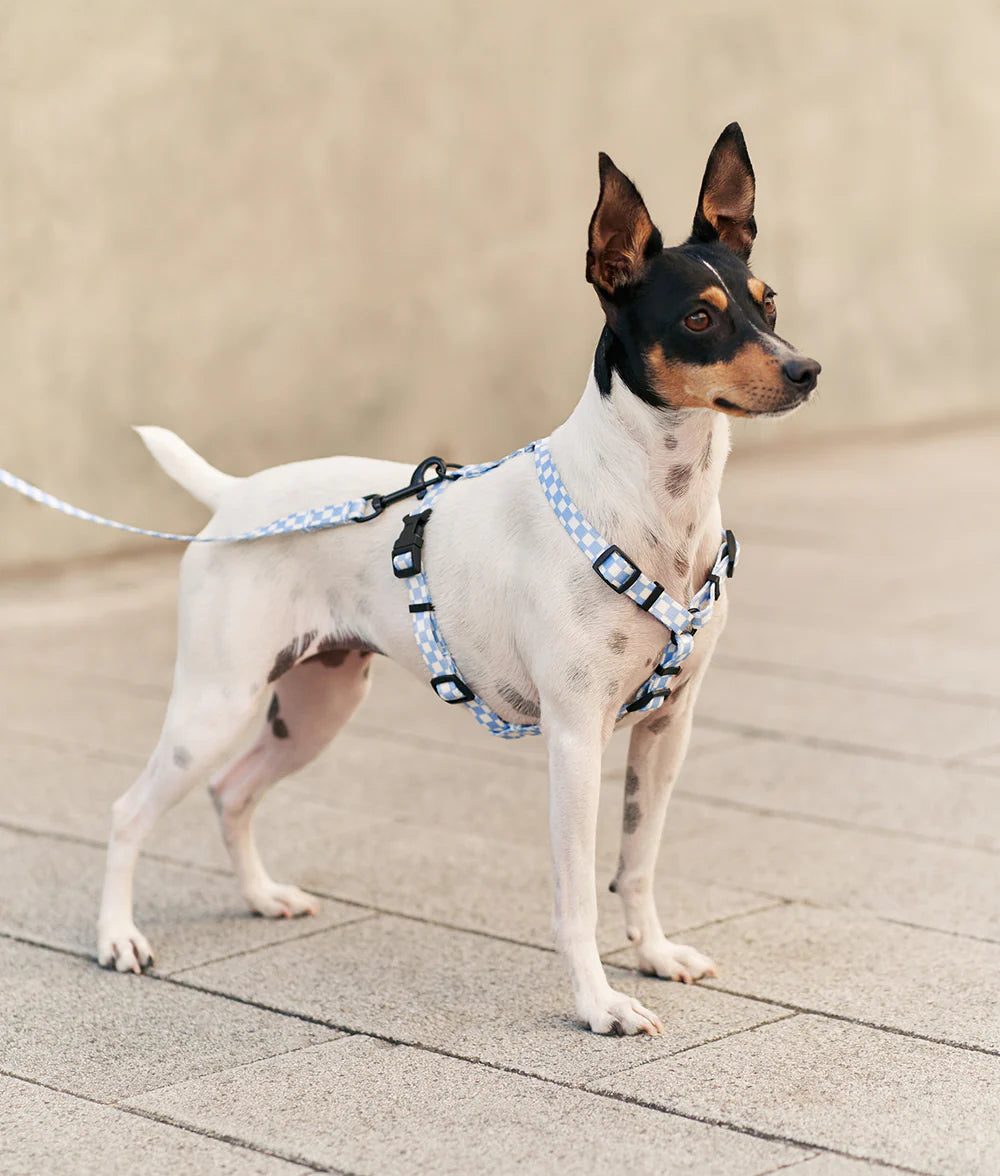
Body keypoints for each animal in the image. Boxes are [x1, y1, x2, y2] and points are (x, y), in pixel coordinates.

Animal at [97, 123, 819, 1035]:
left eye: (768, 303)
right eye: (699, 317)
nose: (807, 370)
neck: (654, 504)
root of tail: (234, 497)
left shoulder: (667, 730)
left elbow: (638, 864)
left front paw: (654, 956)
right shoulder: (576, 739)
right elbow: (579, 896)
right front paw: (599, 1004)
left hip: (318, 703)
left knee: (232, 793)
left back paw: (262, 897)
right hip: (215, 703)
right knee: (131, 811)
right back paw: (116, 938)